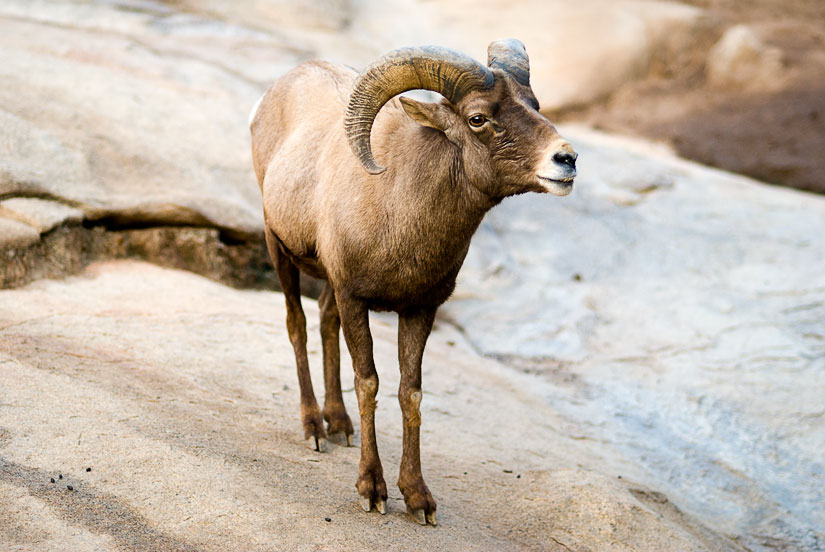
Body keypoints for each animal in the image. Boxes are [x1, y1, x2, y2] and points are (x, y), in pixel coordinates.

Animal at [248, 40, 576, 528]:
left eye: (533, 105)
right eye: (477, 118)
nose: (566, 160)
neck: (400, 212)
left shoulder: (418, 309)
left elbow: (411, 393)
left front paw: (419, 499)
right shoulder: (355, 297)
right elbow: (368, 383)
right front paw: (372, 490)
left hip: (328, 283)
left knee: (324, 324)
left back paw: (339, 425)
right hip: (278, 247)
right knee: (297, 325)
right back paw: (314, 429)